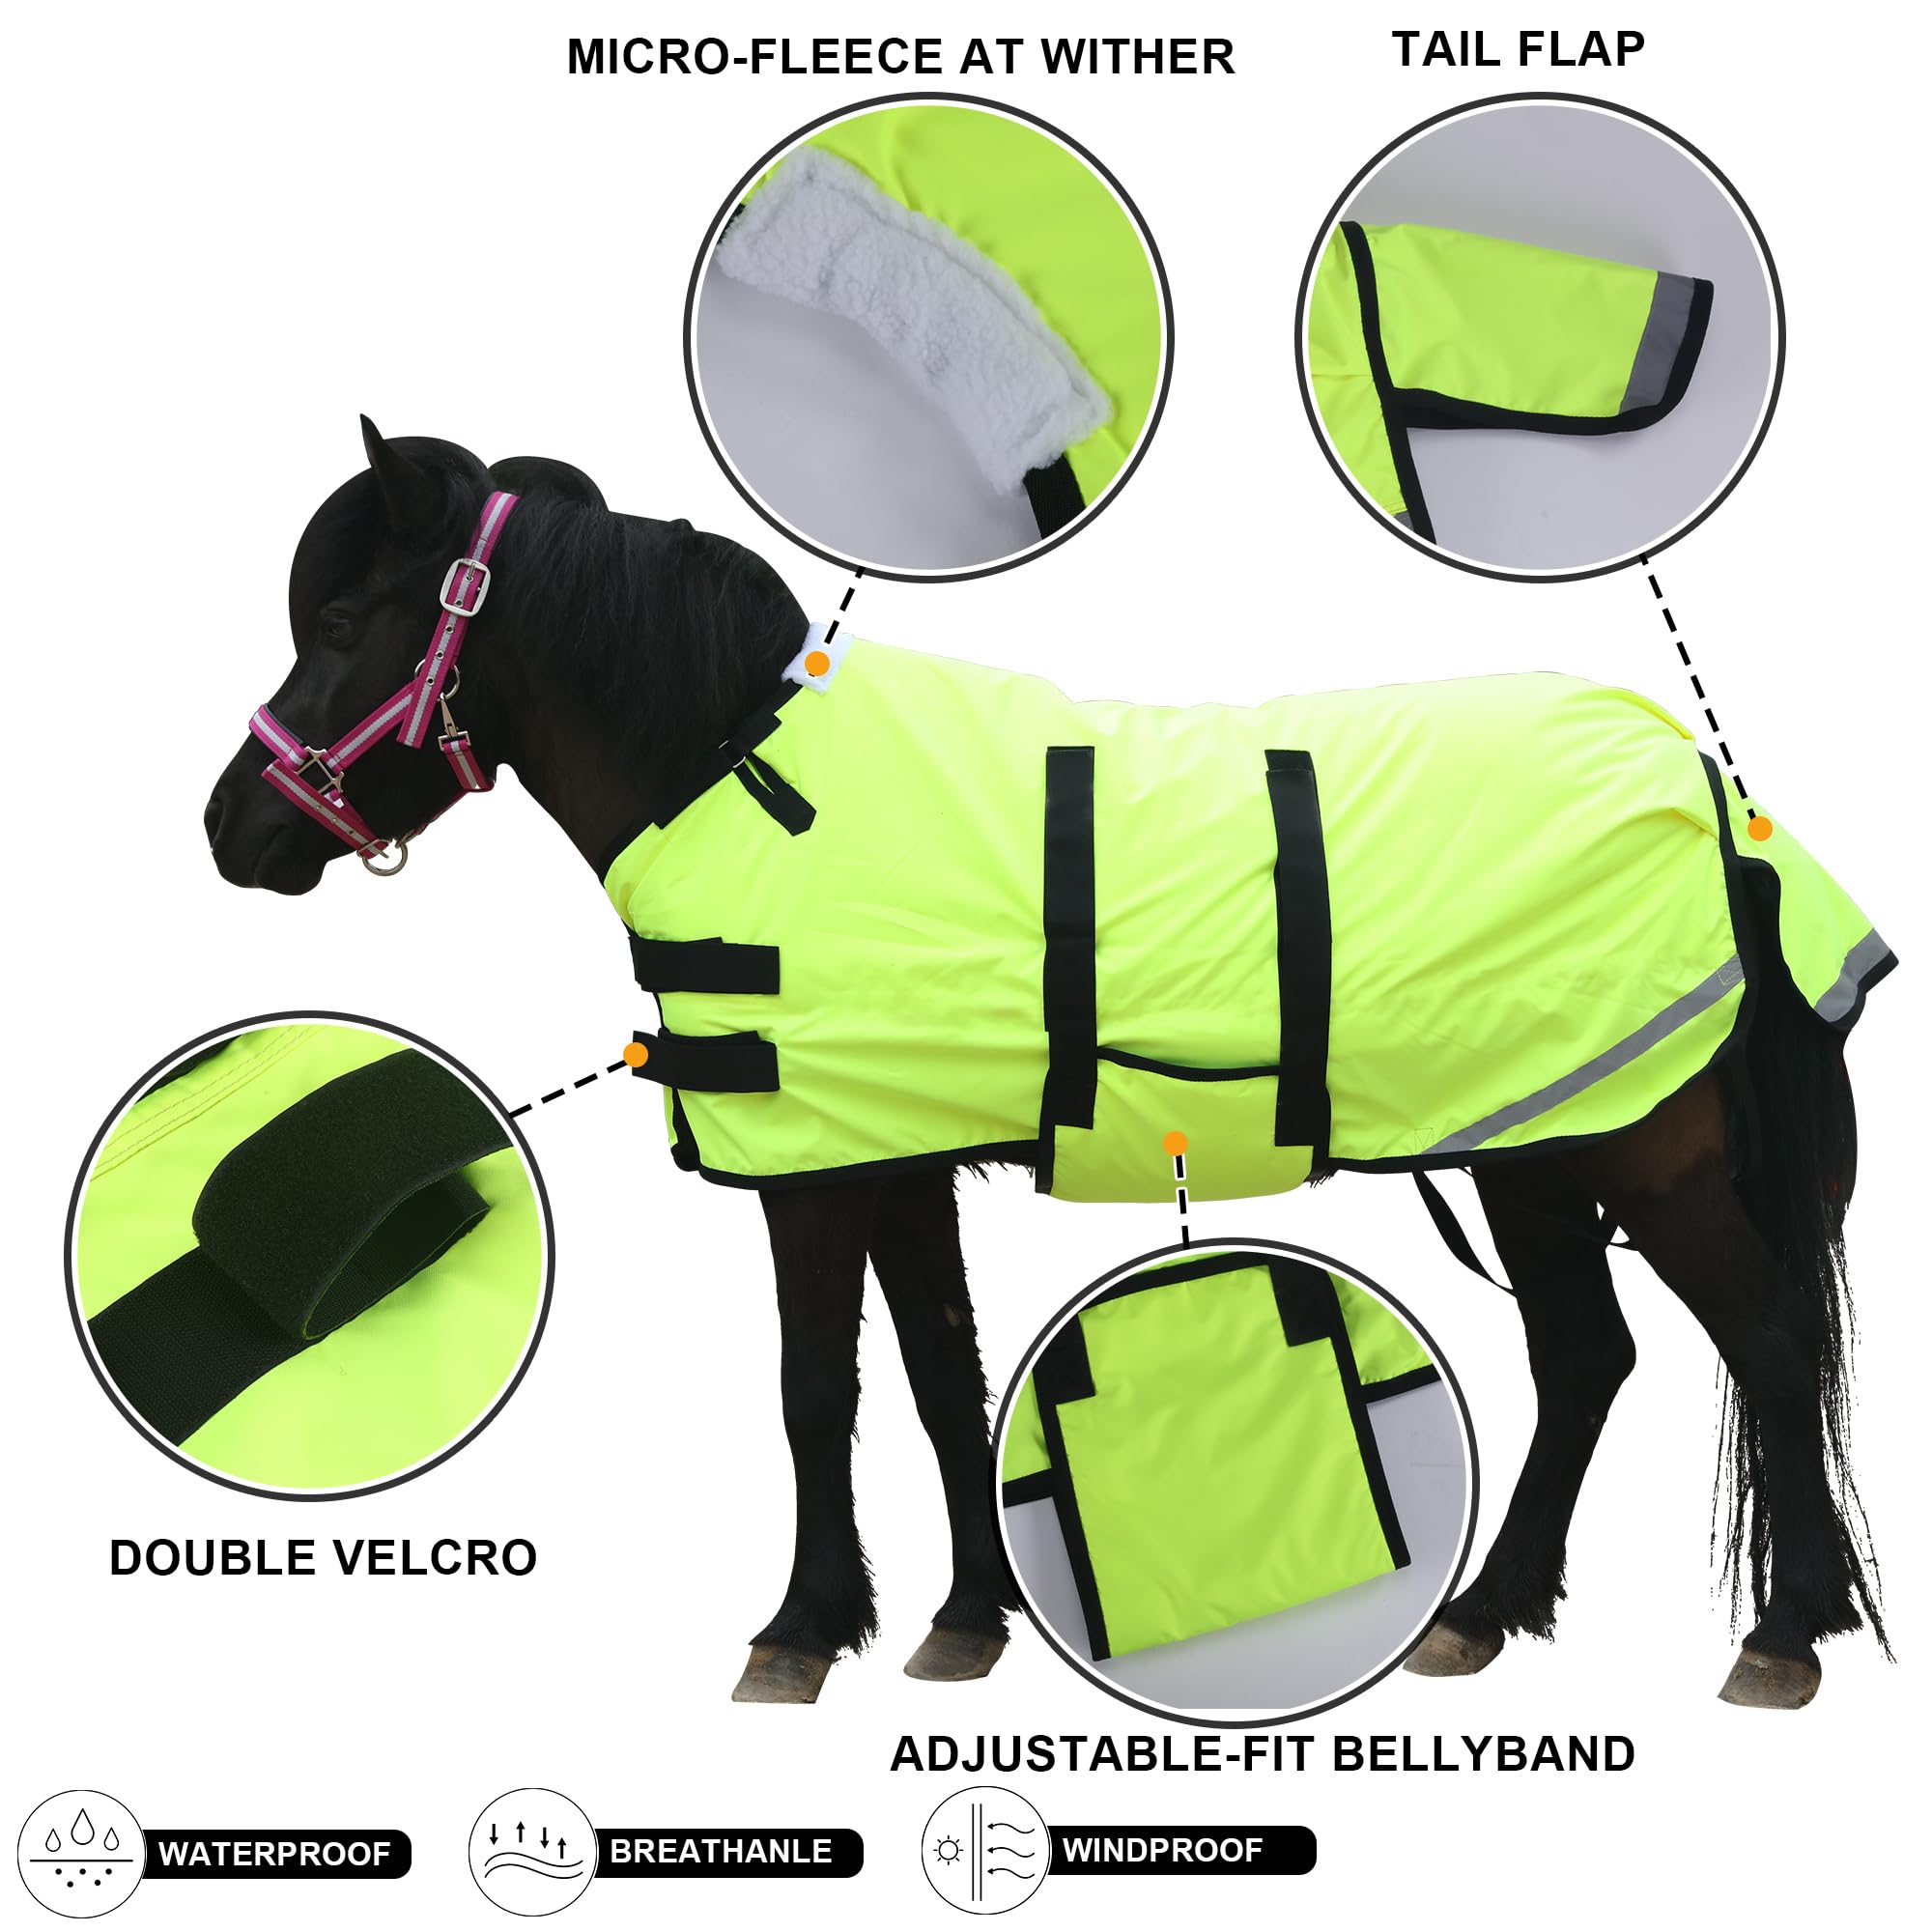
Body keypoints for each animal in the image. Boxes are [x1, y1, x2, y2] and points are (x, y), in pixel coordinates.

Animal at [204, 421, 1889, 1709]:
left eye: (343, 624)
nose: (233, 829)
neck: (742, 779)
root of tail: (1695, 780)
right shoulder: (885, 1157)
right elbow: (940, 1379)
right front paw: (962, 1618)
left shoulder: (813, 1177)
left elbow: (813, 1389)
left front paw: (801, 1630)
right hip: (1535, 1142)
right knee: (1587, 1357)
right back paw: (1486, 1608)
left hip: (1642, 1153)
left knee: (1764, 1339)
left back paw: (1784, 1632)